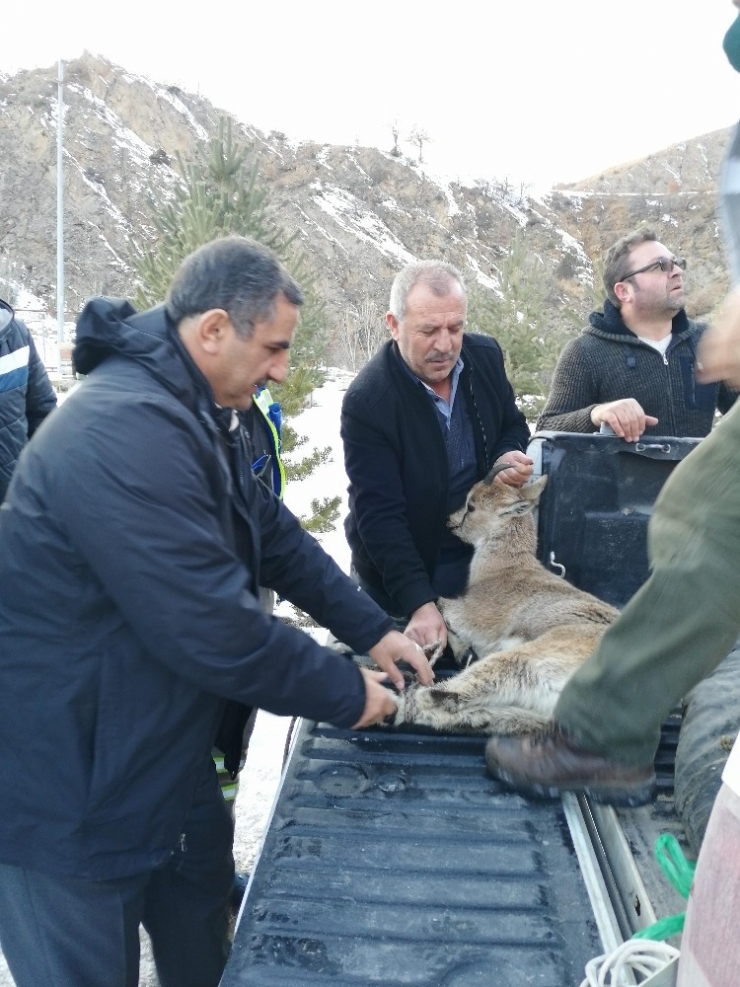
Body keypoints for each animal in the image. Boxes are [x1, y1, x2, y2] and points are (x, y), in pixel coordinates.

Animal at [394, 466, 620, 736]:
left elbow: (440, 606)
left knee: (434, 695)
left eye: (471, 506)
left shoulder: (473, 616)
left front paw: (457, 649)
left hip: (520, 662)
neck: (505, 569)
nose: (449, 520)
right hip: (529, 712)